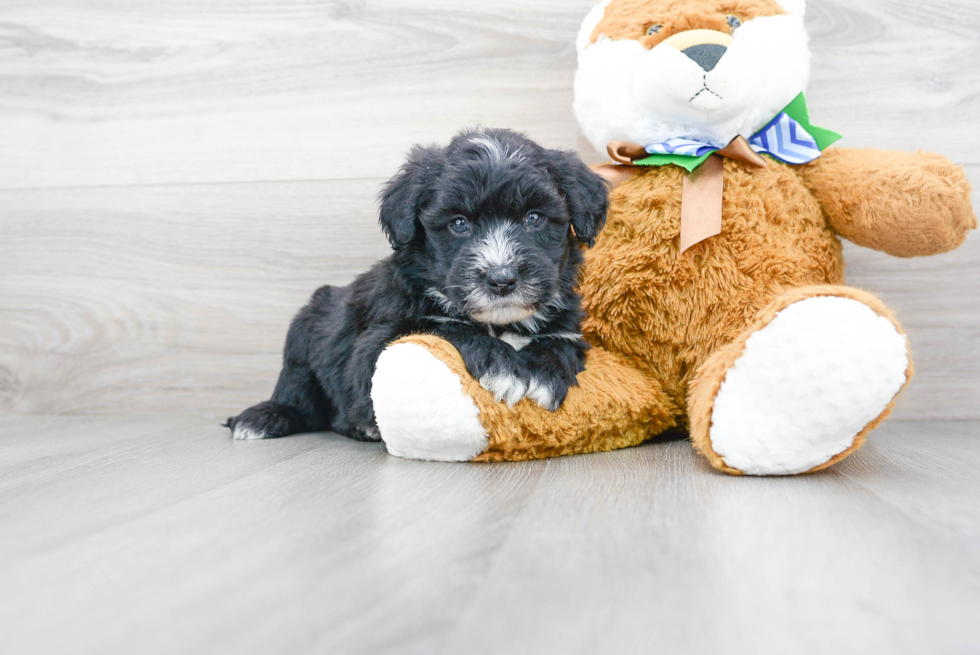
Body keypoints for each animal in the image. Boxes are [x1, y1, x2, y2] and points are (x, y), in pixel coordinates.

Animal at [227, 128, 608, 444]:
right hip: (304, 335)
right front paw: (502, 366)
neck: (499, 324)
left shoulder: (568, 327)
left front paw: (545, 372)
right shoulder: (376, 342)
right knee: (298, 392)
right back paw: (266, 417)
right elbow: (440, 327)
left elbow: (559, 341)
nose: (501, 278)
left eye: (534, 218)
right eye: (459, 224)